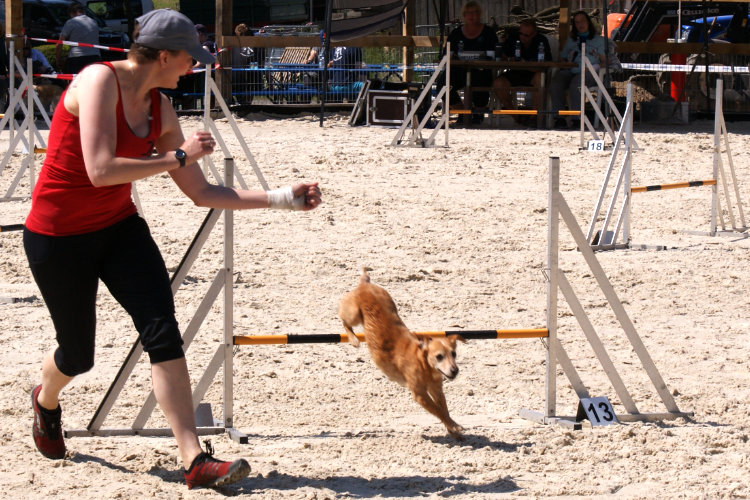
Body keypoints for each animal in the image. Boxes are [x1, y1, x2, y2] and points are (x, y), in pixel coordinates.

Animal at [342, 270, 470, 438]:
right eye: (439, 356)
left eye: (454, 354)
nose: (455, 370)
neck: (424, 364)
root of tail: (365, 284)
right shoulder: (420, 395)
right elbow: (438, 412)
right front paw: (454, 426)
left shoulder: (436, 390)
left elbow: (444, 410)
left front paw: (452, 429)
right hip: (354, 314)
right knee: (344, 320)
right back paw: (353, 338)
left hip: (390, 302)